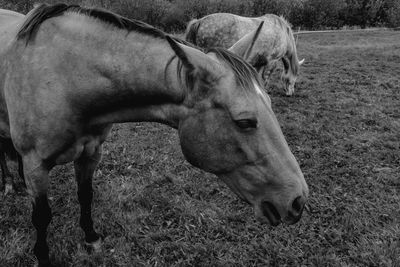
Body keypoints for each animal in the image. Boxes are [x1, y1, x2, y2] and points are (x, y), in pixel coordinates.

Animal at [0, 3, 310, 266]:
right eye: (245, 121)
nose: (298, 201)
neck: (66, 76)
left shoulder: (91, 152)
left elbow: (85, 195)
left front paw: (91, 238)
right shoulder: (36, 163)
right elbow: (41, 216)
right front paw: (43, 256)